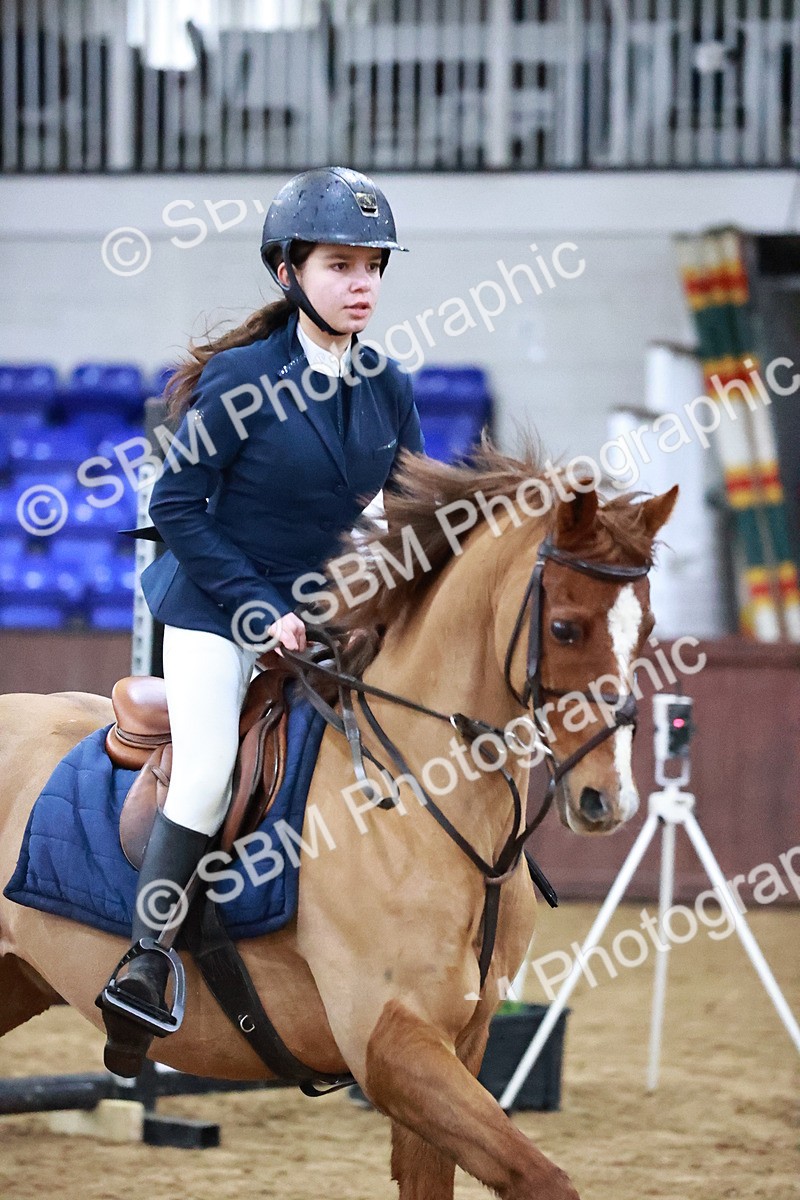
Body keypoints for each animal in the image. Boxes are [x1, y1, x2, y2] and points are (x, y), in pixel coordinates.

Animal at [0, 442, 677, 1200]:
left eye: (648, 630)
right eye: (565, 627)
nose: (606, 801)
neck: (426, 803)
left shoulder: (459, 1044)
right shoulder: (389, 1044)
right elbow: (543, 1178)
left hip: (15, 980)